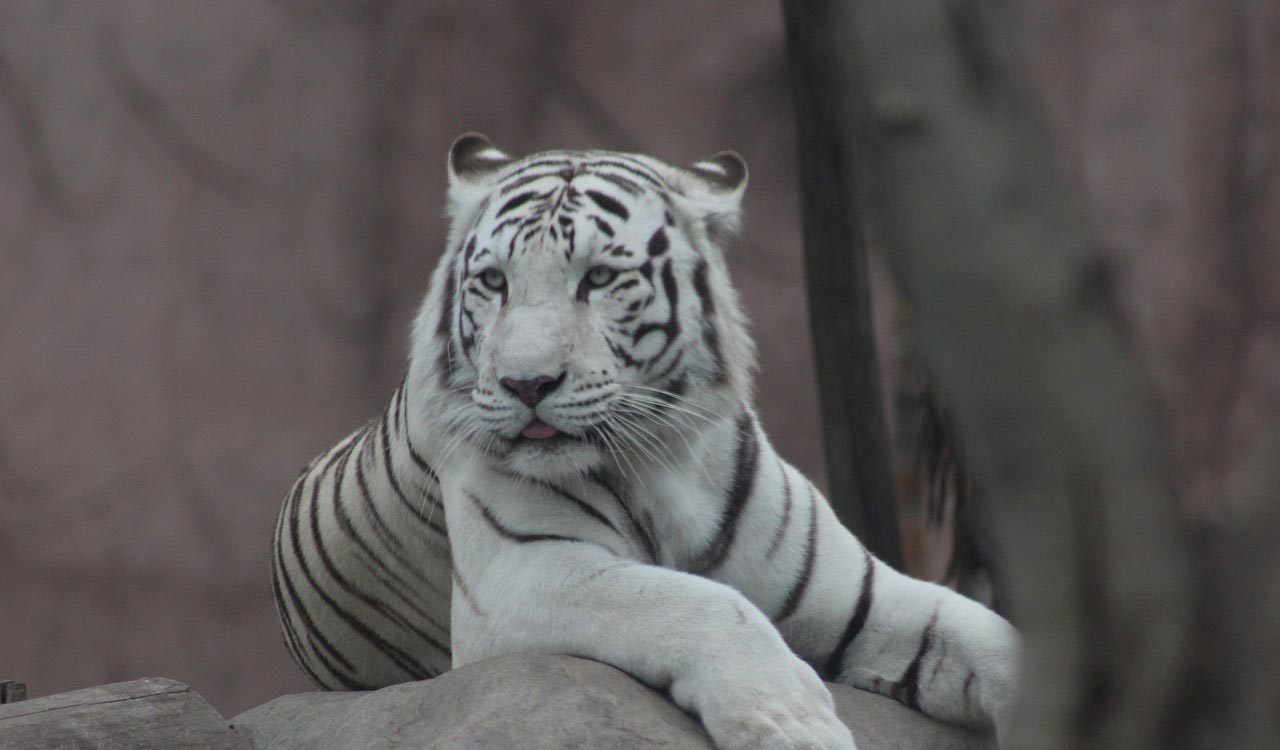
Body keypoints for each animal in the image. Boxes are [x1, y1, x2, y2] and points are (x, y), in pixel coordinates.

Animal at [272, 134, 1018, 747]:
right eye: (493, 282)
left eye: (599, 278)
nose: (525, 383)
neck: (667, 461)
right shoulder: (521, 576)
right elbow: (703, 603)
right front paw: (791, 725)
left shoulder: (855, 592)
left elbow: (994, 639)